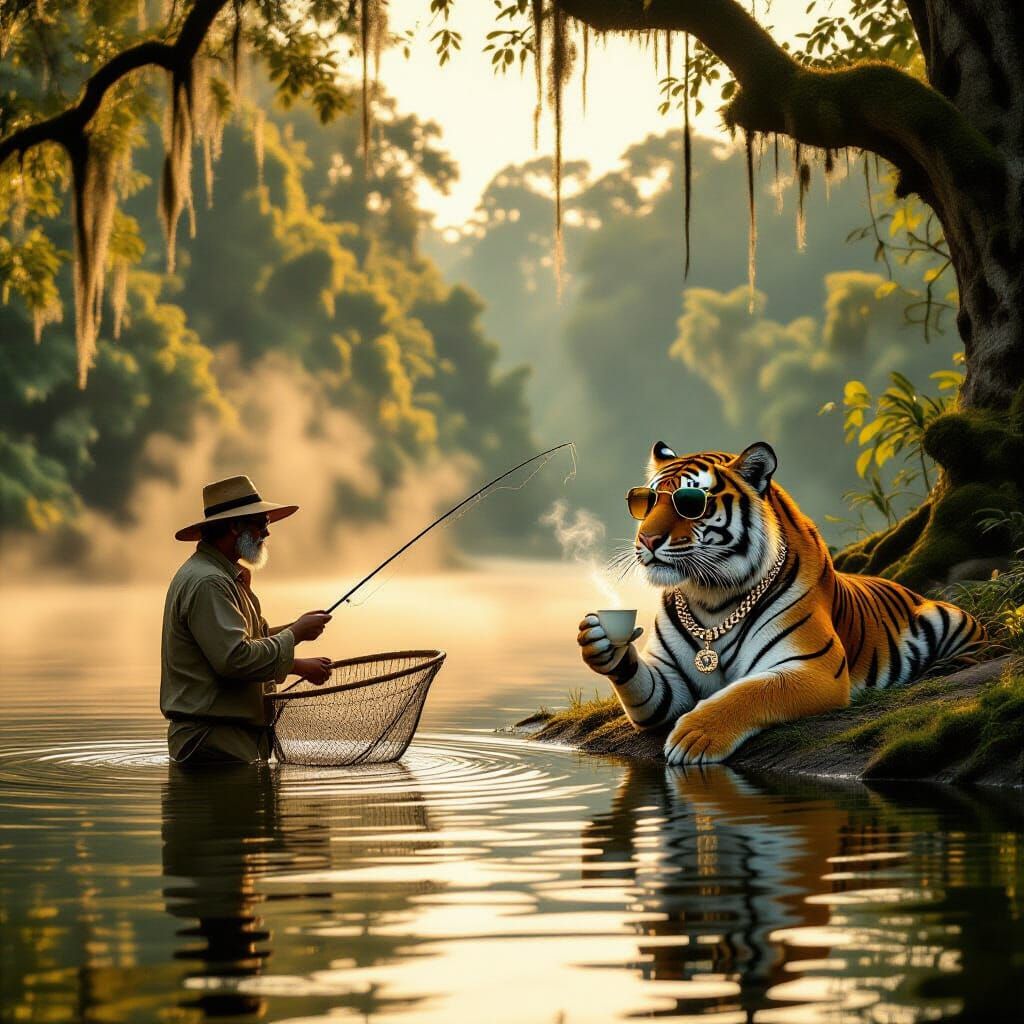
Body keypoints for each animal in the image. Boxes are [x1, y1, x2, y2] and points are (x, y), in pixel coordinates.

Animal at [577, 441, 986, 766]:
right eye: (644, 503)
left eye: (691, 504)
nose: (646, 539)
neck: (712, 597)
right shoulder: (670, 681)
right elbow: (644, 684)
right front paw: (599, 643)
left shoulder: (814, 667)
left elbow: (750, 692)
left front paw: (694, 736)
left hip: (950, 619)